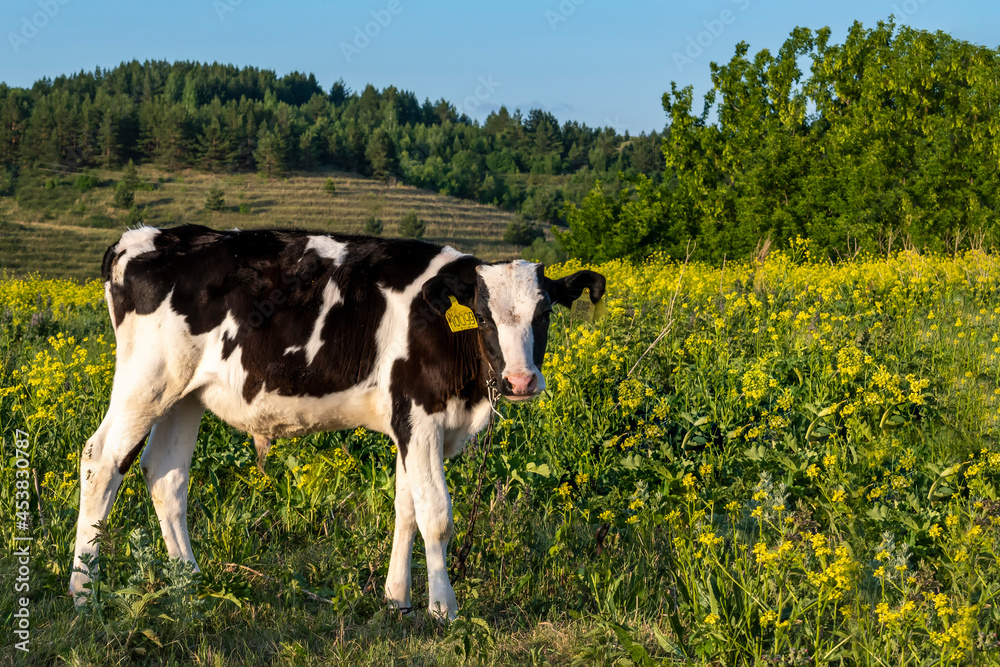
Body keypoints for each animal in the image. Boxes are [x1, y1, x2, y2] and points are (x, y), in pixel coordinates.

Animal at [69, 224, 605, 620]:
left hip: (184, 394)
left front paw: (397, 599)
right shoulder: (419, 415)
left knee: (165, 475)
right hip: (146, 380)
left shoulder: (408, 426)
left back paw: (190, 582)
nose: (520, 381)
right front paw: (444, 610)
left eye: (544, 314)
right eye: (484, 315)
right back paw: (82, 590)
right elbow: (436, 516)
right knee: (102, 461)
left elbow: (406, 508)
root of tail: (141, 238)